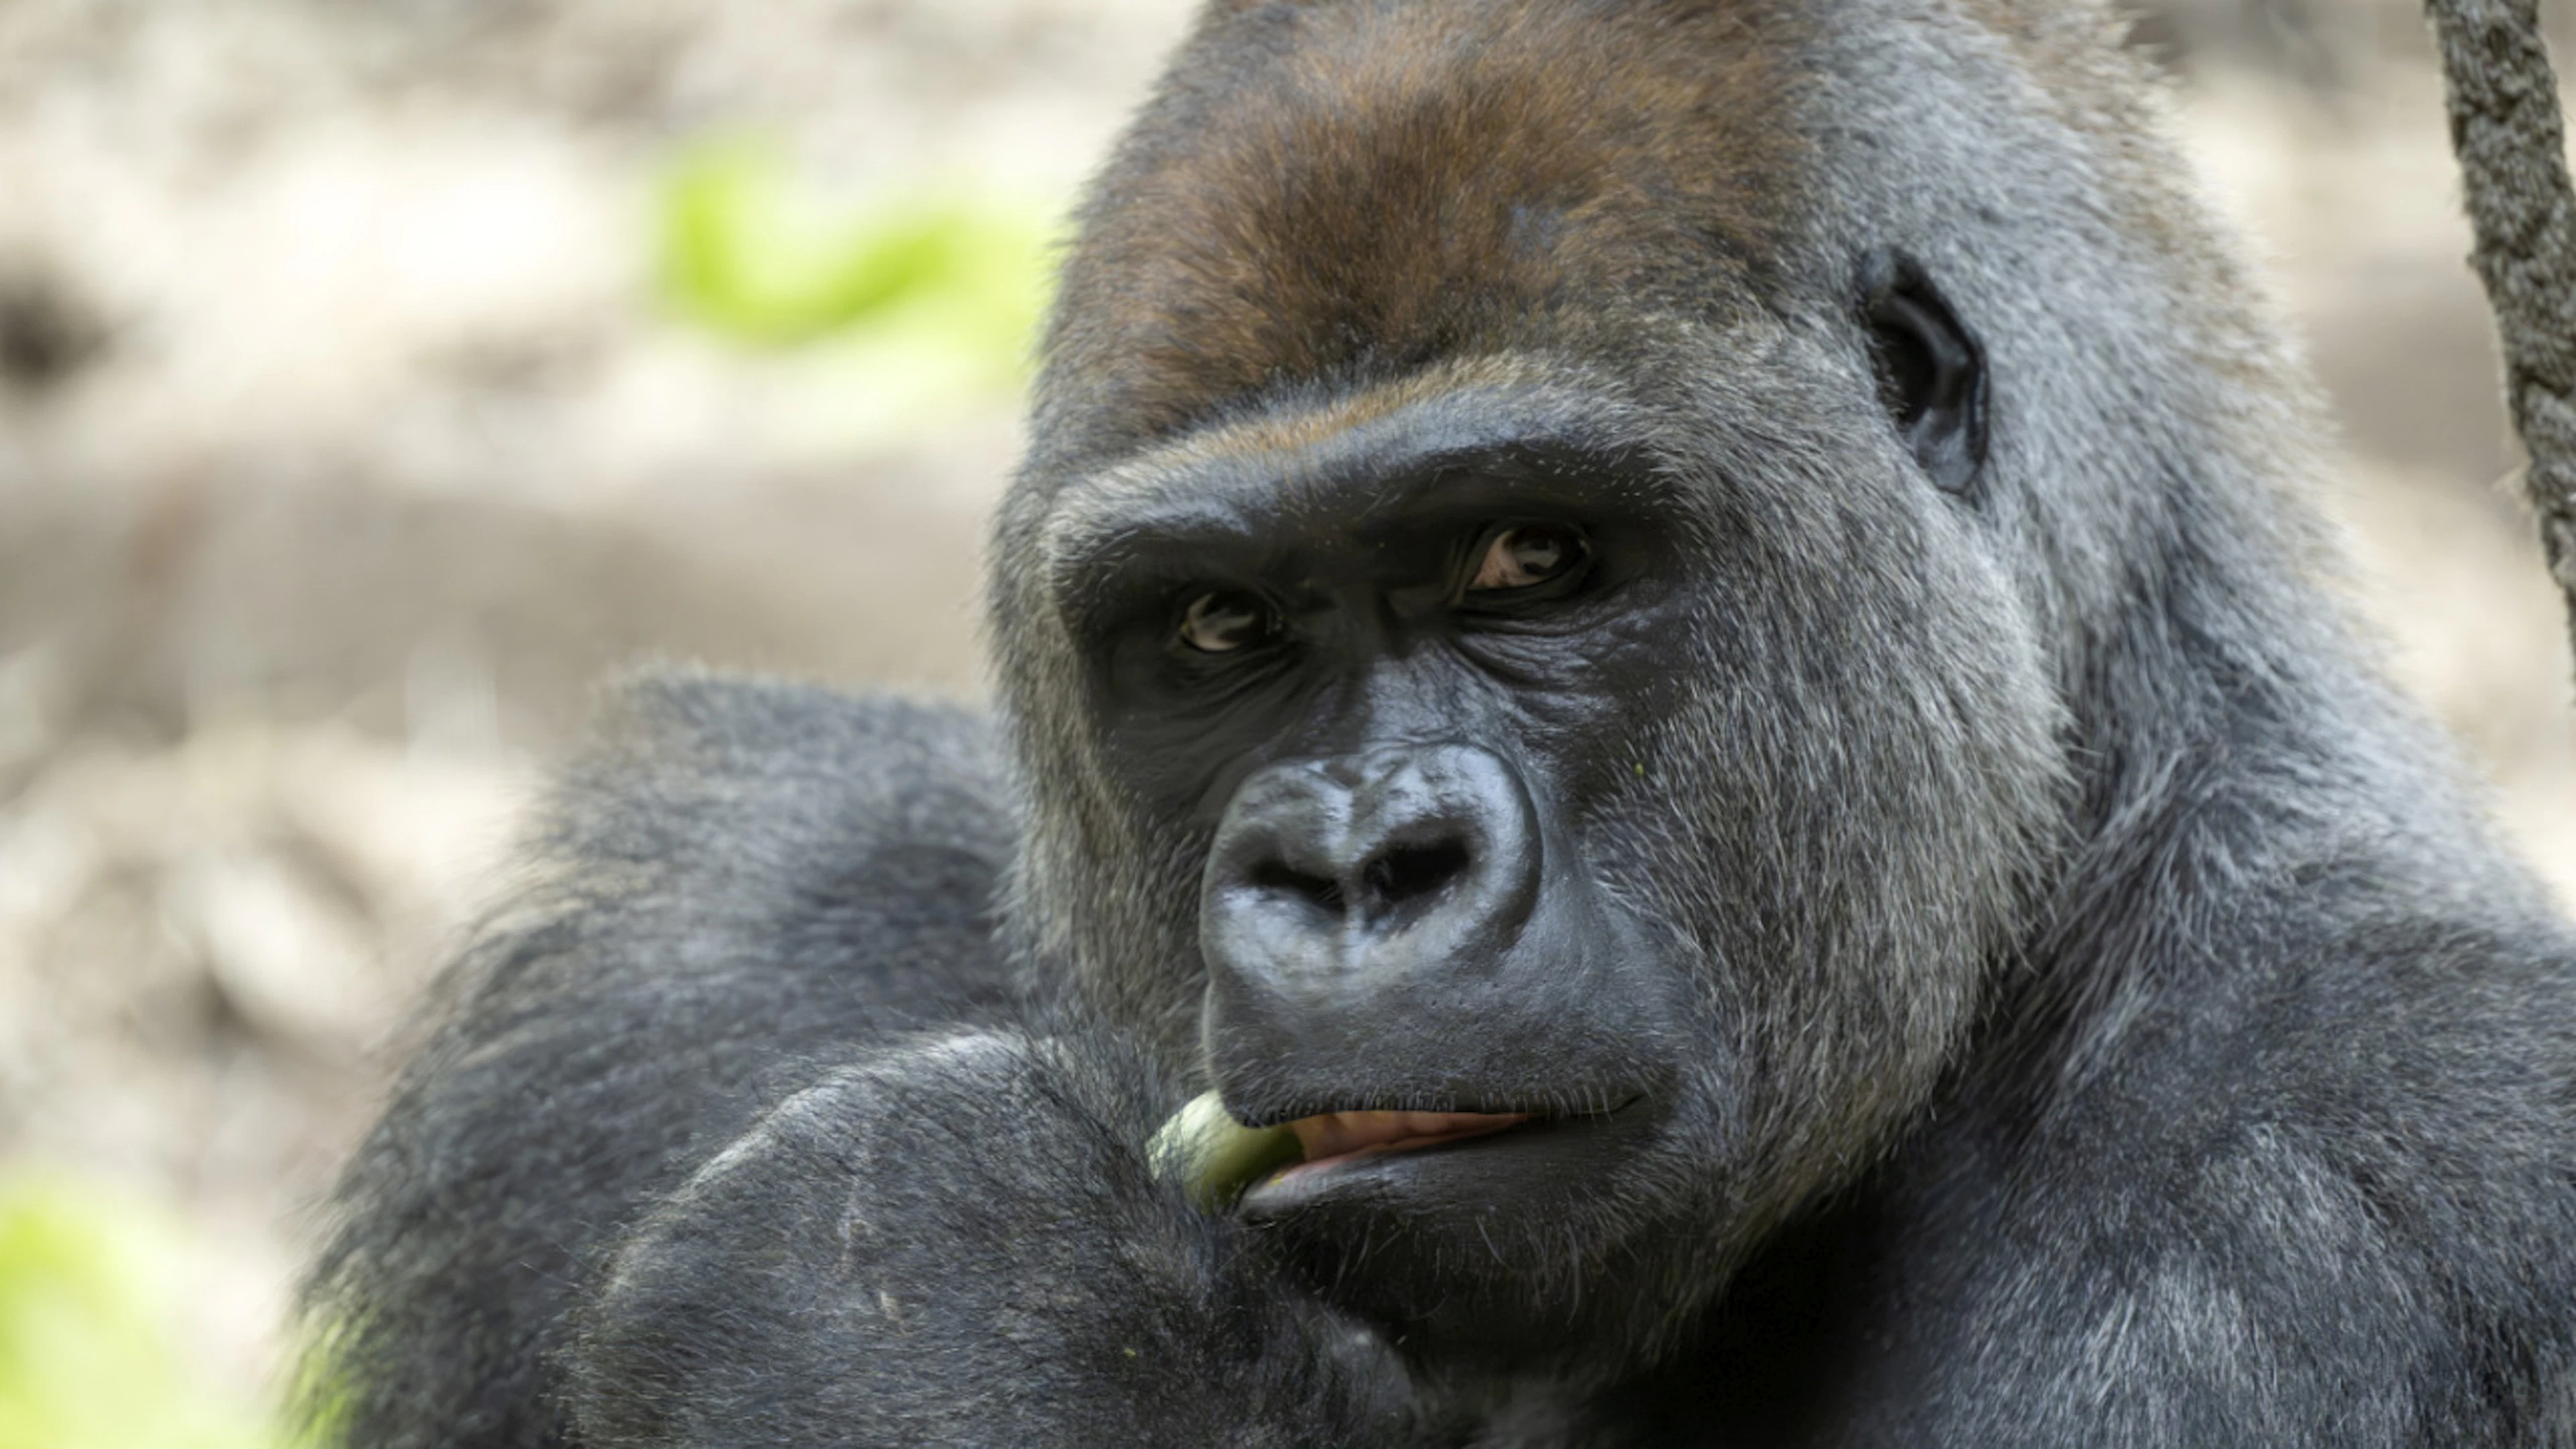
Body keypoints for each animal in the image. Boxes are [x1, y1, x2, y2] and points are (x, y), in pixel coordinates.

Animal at [298, 0, 2576, 1443]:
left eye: (1532, 563)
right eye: (1219, 626)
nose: (1349, 865)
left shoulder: (2394, 1154)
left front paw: (926, 1308)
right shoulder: (706, 952)